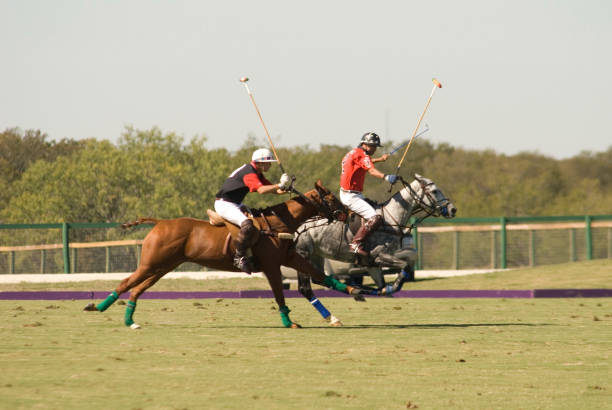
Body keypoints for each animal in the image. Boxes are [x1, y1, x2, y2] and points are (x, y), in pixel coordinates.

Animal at [83, 181, 356, 328]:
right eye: (331, 197)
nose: (348, 214)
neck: (278, 223)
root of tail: (160, 222)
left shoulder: (290, 258)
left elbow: (320, 276)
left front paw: (354, 295)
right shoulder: (271, 266)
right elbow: (279, 294)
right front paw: (289, 322)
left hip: (163, 266)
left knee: (138, 289)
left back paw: (130, 320)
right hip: (152, 263)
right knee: (126, 282)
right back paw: (98, 306)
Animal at [294, 175, 456, 326]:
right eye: (434, 191)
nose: (452, 209)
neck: (390, 219)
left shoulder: (372, 264)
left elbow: (383, 282)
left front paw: (379, 290)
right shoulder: (378, 256)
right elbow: (404, 267)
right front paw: (391, 288)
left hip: (316, 255)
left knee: (319, 278)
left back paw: (355, 292)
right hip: (303, 254)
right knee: (305, 288)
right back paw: (335, 314)